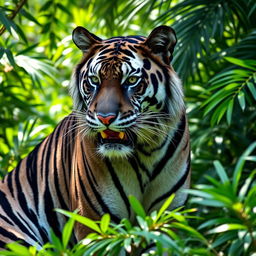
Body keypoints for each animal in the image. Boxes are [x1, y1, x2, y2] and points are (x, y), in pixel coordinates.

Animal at [0, 25, 190, 249]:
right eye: (94, 80)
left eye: (131, 80)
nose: (105, 117)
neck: (146, 150)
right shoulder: (94, 222)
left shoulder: (167, 219)